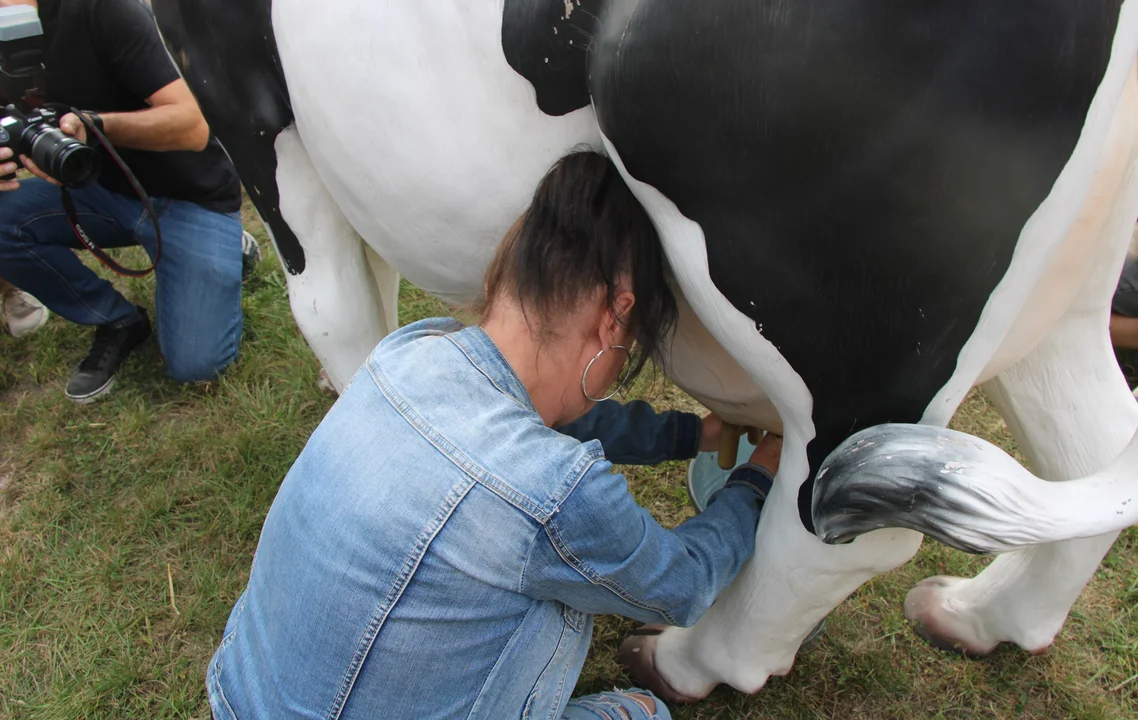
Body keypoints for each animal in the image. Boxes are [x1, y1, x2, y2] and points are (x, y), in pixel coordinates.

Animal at [155, 0, 1138, 700]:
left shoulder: (240, 92)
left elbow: (335, 302)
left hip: (838, 286)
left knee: (833, 523)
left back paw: (690, 660)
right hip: (1061, 284)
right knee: (1094, 438)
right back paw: (981, 616)